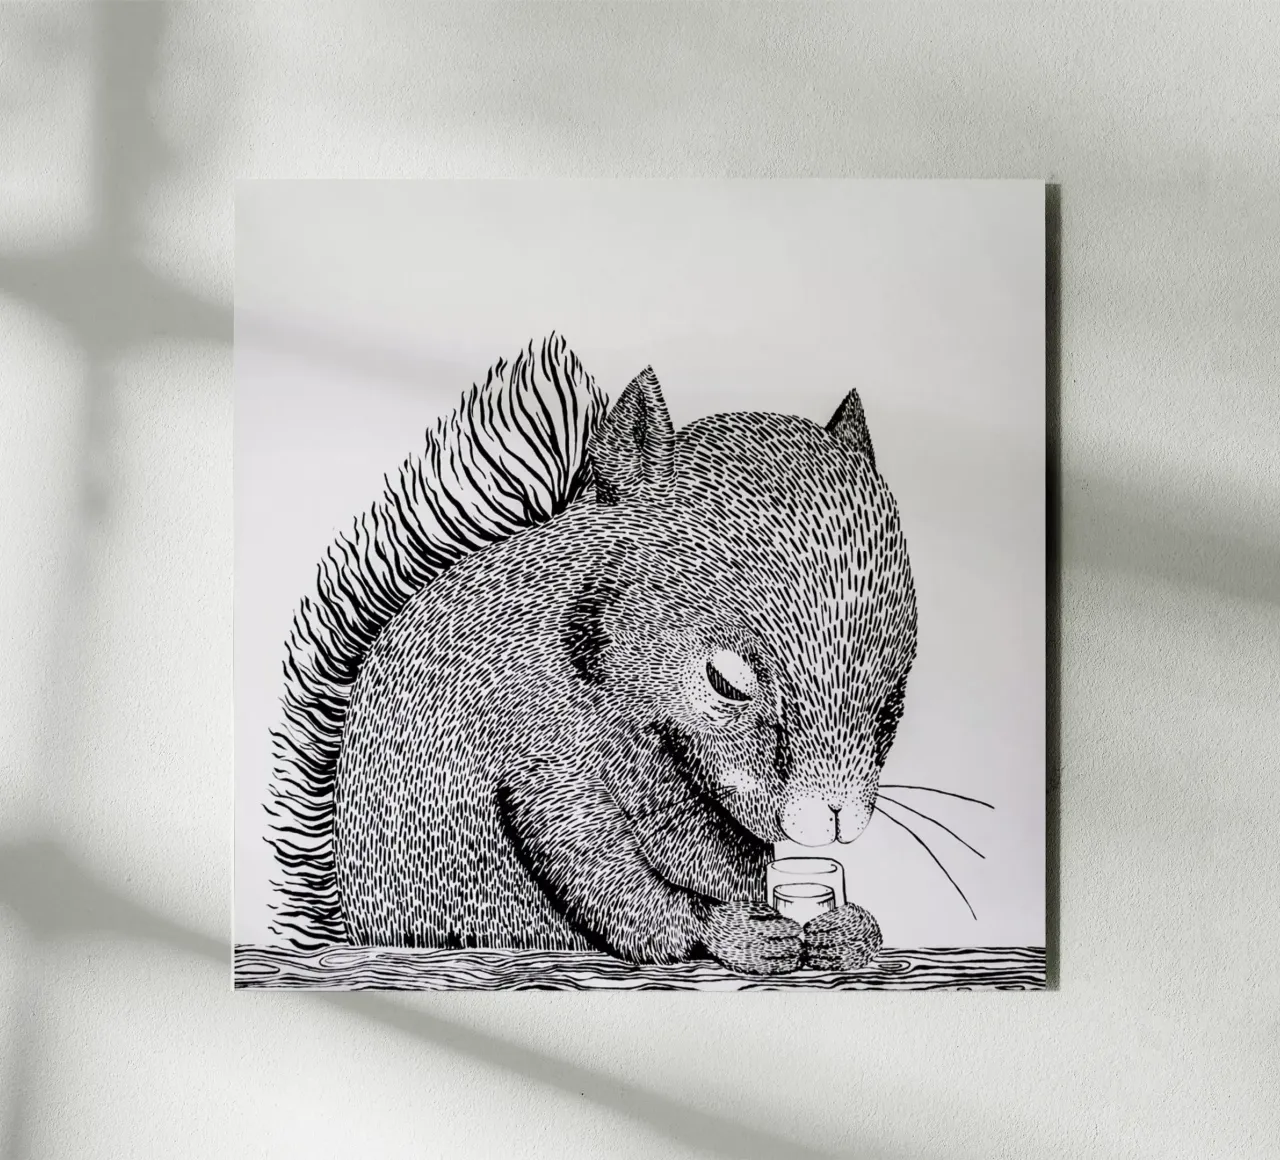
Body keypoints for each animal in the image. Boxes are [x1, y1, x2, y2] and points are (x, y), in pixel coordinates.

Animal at [267, 334, 917, 975]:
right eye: (725, 683)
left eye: (894, 706)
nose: (831, 820)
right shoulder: (540, 742)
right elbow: (586, 854)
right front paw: (732, 932)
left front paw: (845, 928)